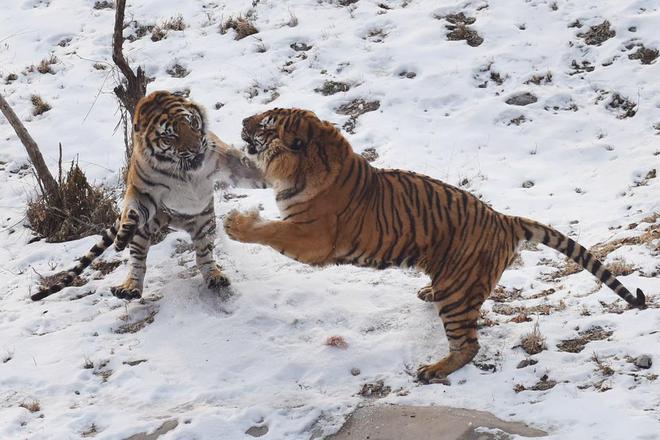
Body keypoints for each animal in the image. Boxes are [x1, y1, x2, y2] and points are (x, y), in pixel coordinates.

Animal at [224, 108, 648, 384]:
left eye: (265, 123)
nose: (242, 120)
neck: (310, 162)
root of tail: (504, 219)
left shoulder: (313, 238)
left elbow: (272, 231)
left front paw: (236, 224)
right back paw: (426, 293)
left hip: (457, 294)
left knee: (469, 345)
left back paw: (434, 369)